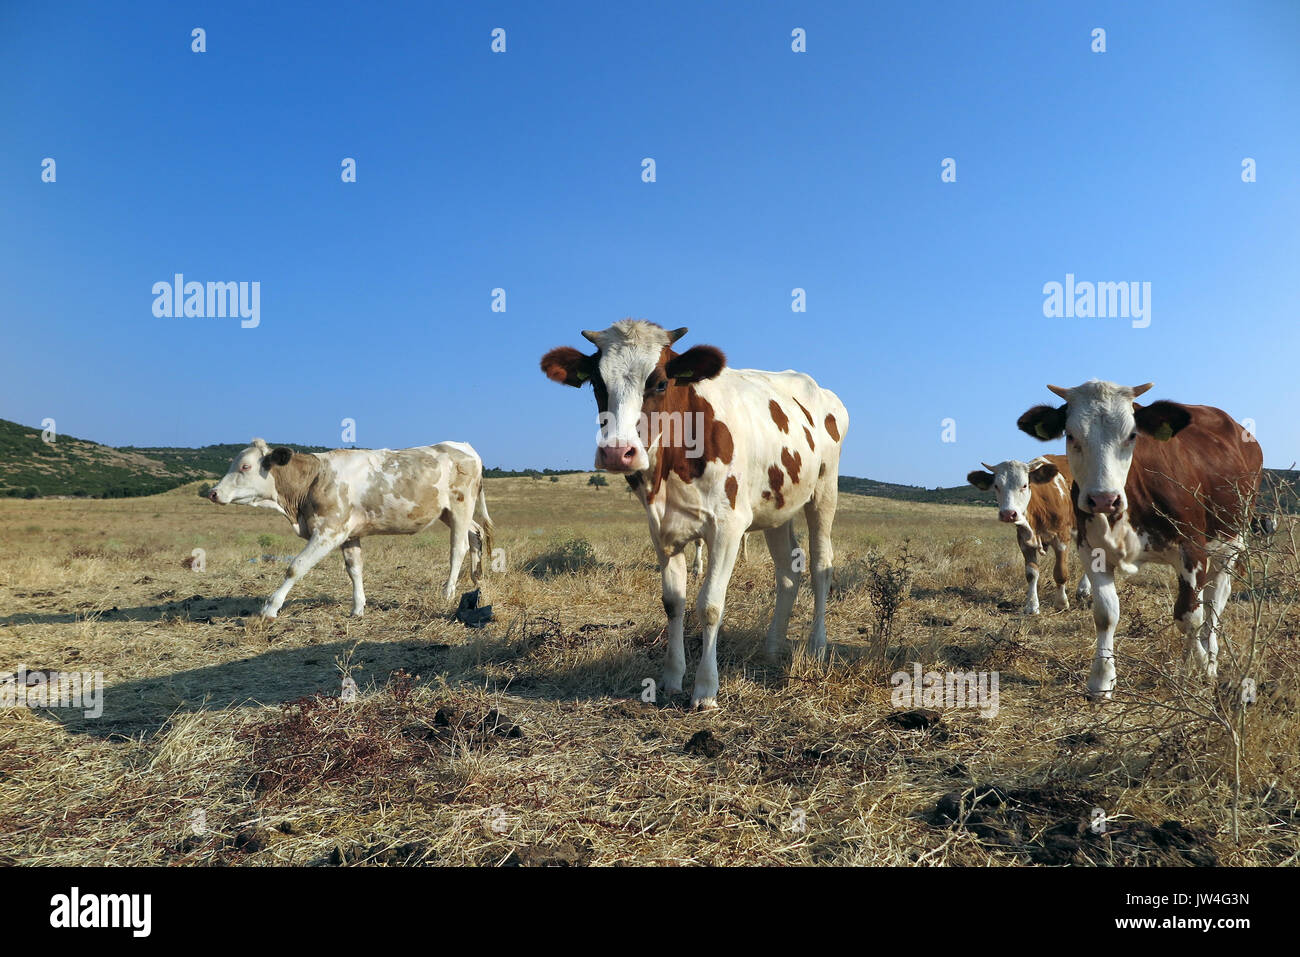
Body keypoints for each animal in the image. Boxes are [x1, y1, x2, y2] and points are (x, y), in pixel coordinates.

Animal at [207, 439, 494, 618]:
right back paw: (477, 578)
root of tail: (464, 446)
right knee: (476, 534)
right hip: (449, 513)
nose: (213, 492)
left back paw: (448, 592)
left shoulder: (328, 530)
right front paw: (357, 608)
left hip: (460, 506)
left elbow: (296, 567)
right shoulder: (348, 534)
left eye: (245, 466)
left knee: (458, 548)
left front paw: (270, 608)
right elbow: (354, 569)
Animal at [541, 319, 848, 709]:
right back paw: (772, 647)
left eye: (659, 382)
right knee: (788, 573)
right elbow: (674, 602)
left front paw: (705, 689)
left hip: (824, 492)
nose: (616, 452)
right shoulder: (662, 529)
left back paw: (817, 648)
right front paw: (672, 678)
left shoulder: (729, 526)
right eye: (597, 383)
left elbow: (710, 605)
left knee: (822, 565)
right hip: (776, 508)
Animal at [967, 454, 1091, 614]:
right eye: (996, 486)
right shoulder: (1024, 540)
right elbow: (1031, 574)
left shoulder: (1062, 537)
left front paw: (1061, 603)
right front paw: (1032, 606)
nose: (1008, 514)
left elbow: (1060, 572)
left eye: (1024, 485)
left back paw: (1084, 589)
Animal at [1017, 381, 1262, 698]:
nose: (1103, 499)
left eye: (1132, 435)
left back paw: (1210, 659)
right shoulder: (1091, 550)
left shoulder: (1192, 552)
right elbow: (1105, 614)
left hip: (1230, 543)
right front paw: (1101, 681)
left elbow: (1189, 617)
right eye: (1071, 435)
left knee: (1214, 606)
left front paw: (1198, 669)